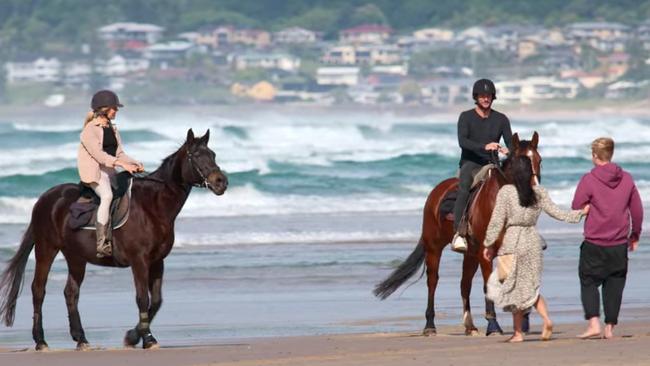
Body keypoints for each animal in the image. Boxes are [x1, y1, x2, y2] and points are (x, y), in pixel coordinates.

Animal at [0, 129, 228, 352]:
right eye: (195, 155)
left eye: (213, 154)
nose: (221, 182)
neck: (153, 206)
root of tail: (44, 199)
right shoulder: (139, 260)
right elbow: (142, 298)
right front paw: (146, 338)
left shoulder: (157, 261)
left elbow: (156, 300)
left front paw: (133, 336)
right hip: (46, 249)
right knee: (38, 290)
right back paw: (41, 341)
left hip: (76, 257)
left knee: (71, 293)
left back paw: (81, 339)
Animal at [372, 132, 540, 338]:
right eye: (517, 163)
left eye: (539, 160)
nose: (532, 194)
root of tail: (437, 190)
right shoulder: (485, 253)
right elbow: (488, 285)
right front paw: (493, 326)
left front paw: (523, 318)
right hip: (434, 247)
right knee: (433, 281)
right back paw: (430, 326)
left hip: (470, 254)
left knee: (464, 284)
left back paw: (470, 326)